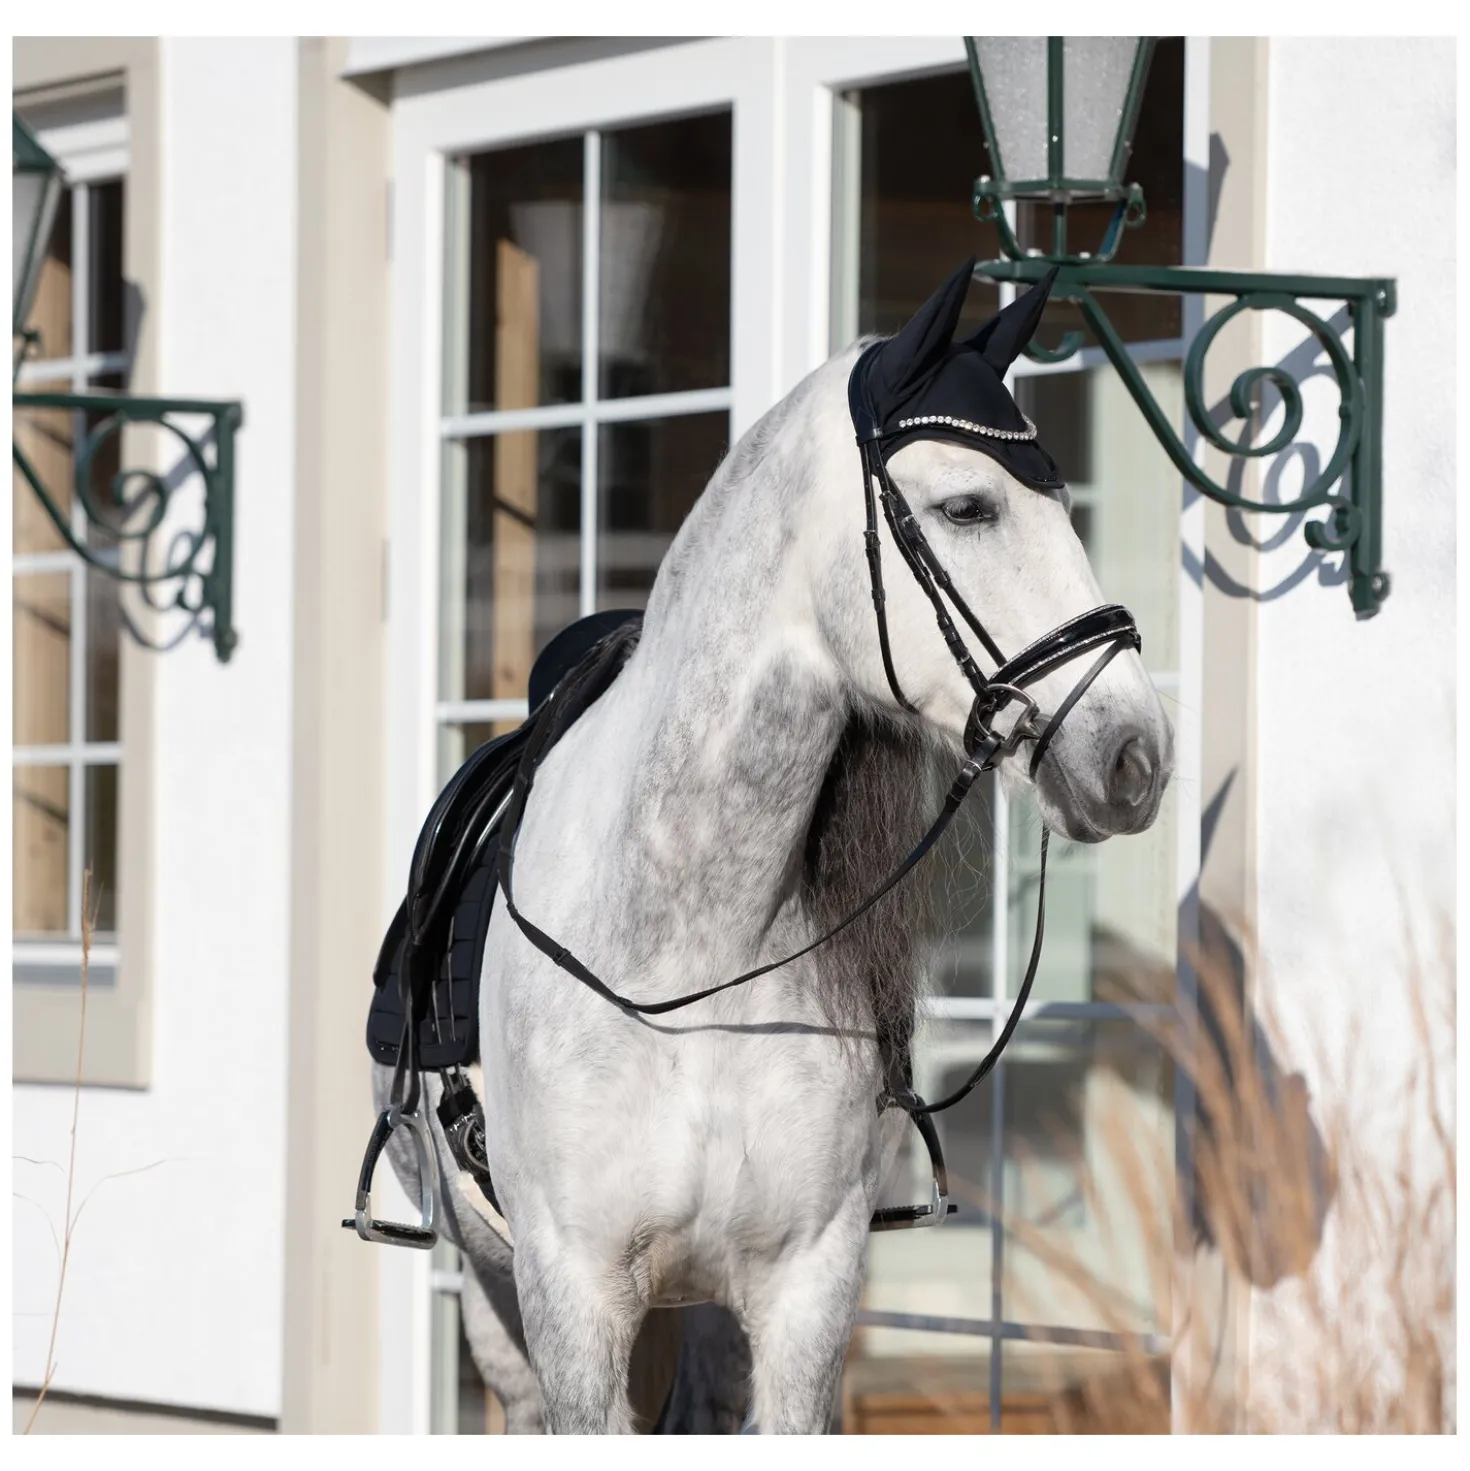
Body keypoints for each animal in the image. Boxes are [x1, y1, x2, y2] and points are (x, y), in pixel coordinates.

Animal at [374, 260, 1175, 1433]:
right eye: (968, 506)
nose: (1135, 755)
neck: (689, 957)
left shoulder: (806, 1291)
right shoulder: (572, 1297)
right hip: (492, 1291)